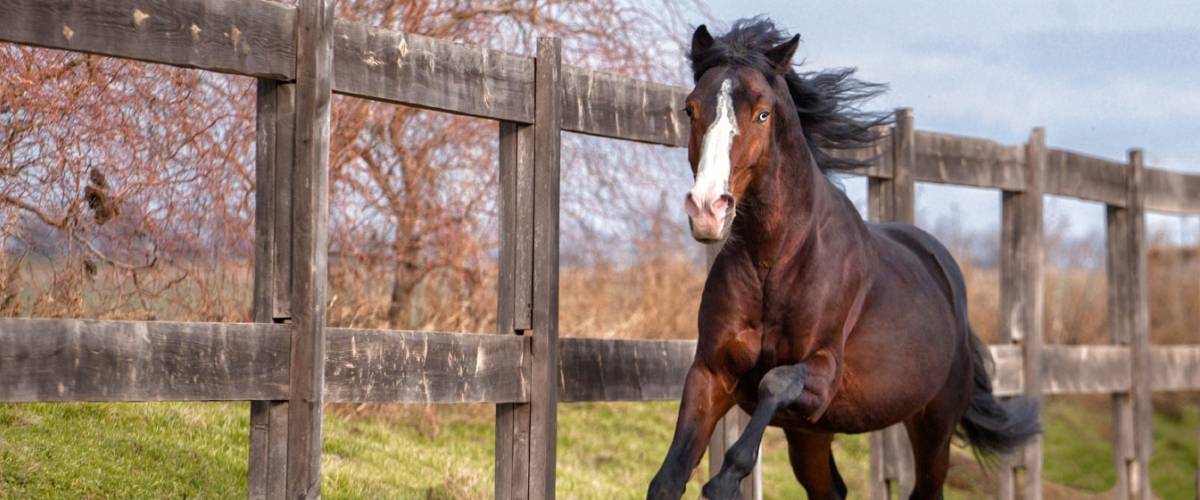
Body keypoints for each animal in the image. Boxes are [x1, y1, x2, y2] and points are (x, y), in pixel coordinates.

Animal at [647, 18, 1040, 500]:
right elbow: (668, 477)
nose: (707, 208)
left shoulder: (823, 377)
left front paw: (724, 481)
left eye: (762, 113)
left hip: (934, 427)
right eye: (690, 109)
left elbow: (775, 381)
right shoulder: (713, 372)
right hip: (810, 438)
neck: (774, 261)